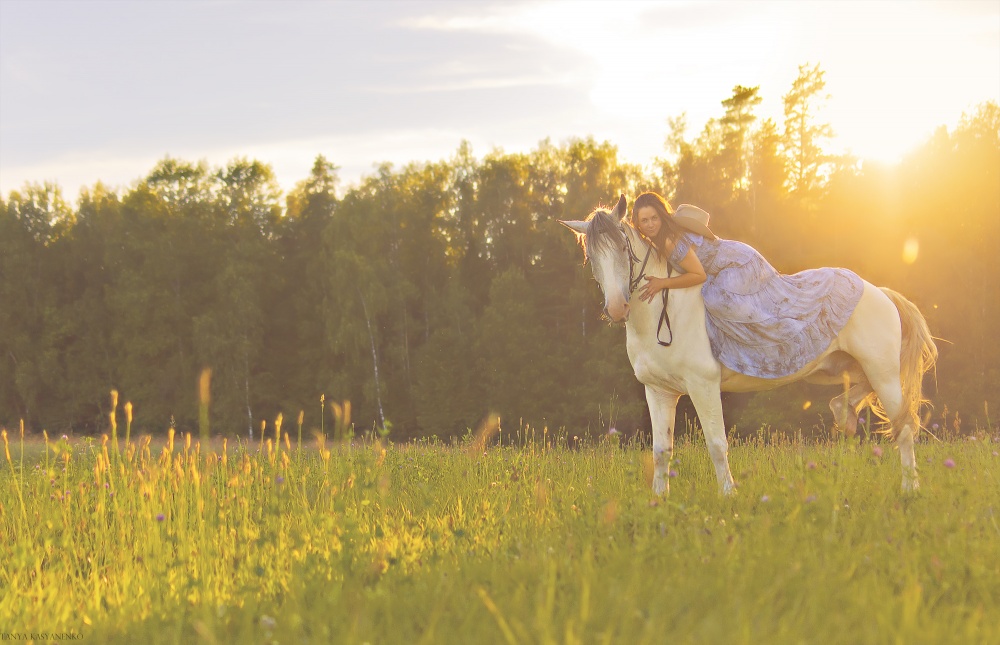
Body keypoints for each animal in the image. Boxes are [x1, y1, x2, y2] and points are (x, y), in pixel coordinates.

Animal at [564, 196, 936, 494]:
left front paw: (729, 495)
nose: (616, 309)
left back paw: (910, 489)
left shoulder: (703, 387)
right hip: (848, 370)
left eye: (623, 248)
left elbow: (717, 444)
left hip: (883, 373)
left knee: (904, 428)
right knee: (857, 400)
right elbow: (661, 451)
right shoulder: (658, 392)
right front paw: (659, 499)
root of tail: (880, 292)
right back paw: (845, 417)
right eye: (590, 256)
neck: (664, 311)